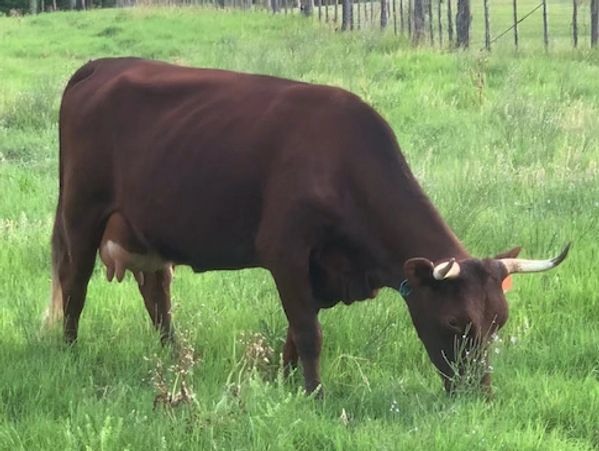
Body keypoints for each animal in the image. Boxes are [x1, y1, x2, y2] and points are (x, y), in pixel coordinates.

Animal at [44, 56, 568, 396]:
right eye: (457, 322)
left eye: (499, 321)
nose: (480, 394)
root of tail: (100, 65)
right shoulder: (287, 252)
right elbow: (308, 330)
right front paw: (315, 395)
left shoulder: (321, 270)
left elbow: (295, 335)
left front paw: (284, 383)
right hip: (82, 211)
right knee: (75, 283)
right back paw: (68, 351)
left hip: (149, 232)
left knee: (157, 296)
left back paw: (174, 357)